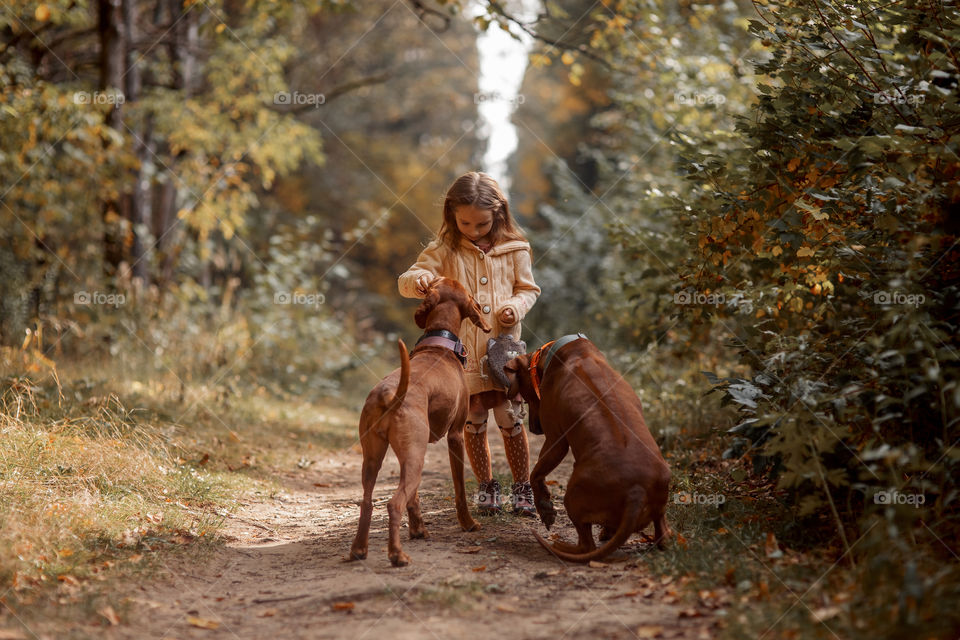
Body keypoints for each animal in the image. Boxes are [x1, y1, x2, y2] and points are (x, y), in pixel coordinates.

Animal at [348, 278, 492, 568]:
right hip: (416, 458)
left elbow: (413, 499)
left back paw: (359, 549)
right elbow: (459, 489)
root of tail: (389, 395)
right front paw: (468, 524)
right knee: (393, 503)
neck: (440, 347)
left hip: (378, 459)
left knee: (368, 502)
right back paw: (397, 555)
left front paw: (418, 530)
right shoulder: (456, 435)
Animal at [498, 336, 672, 560]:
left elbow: (535, 474)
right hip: (659, 504)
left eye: (526, 400)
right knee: (662, 533)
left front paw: (545, 508)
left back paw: (562, 546)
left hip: (572, 496)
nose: (534, 429)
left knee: (586, 546)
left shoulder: (556, 440)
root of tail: (637, 491)